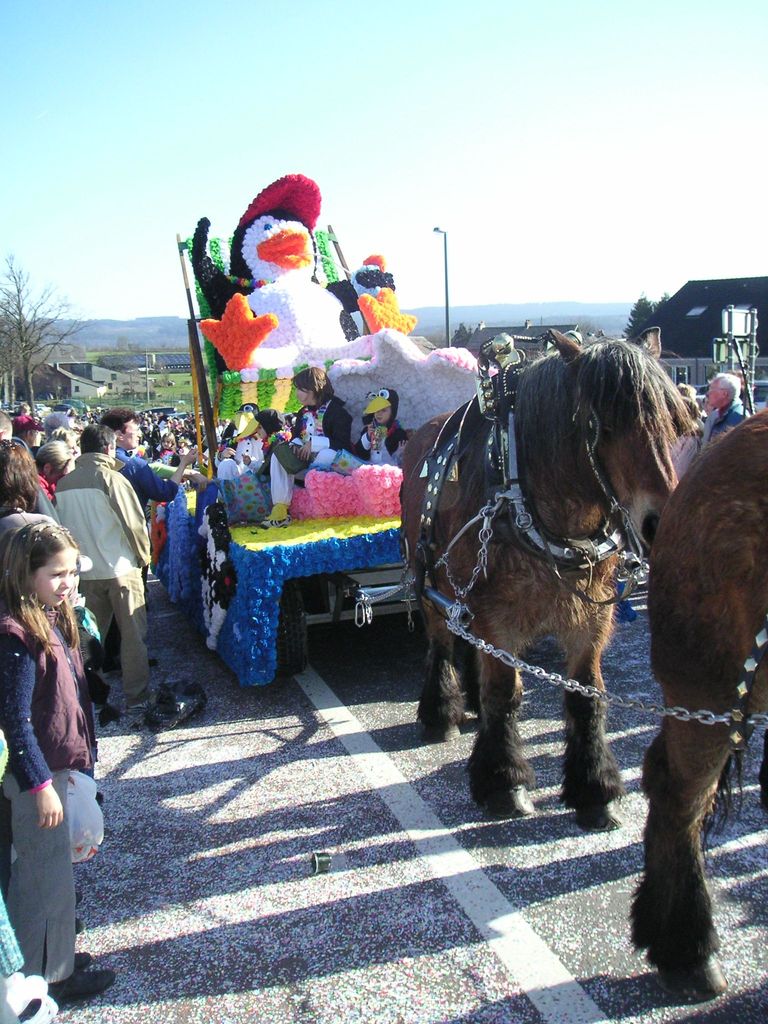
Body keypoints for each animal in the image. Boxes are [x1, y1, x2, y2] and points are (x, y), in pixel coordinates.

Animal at [399, 331, 688, 827]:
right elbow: (504, 693)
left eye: (673, 419)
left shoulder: (590, 617)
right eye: (599, 425)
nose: (660, 524)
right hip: (430, 583)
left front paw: (594, 789)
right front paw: (504, 781)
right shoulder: (496, 617)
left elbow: (587, 695)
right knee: (440, 642)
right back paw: (441, 714)